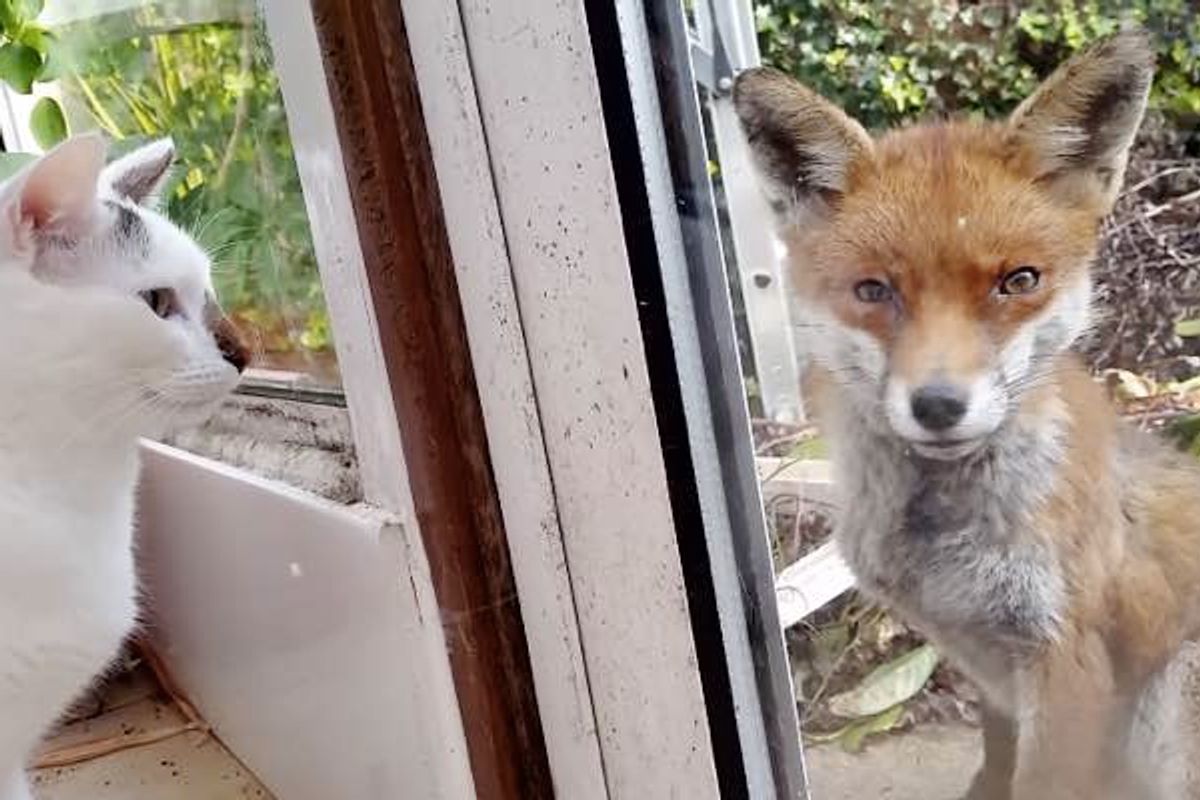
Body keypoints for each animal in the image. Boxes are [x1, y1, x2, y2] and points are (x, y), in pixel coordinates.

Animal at [733, 29, 1200, 800]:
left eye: (1018, 281)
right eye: (874, 291)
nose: (939, 406)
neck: (949, 551)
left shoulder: (1068, 660)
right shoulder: (995, 680)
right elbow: (994, 767)